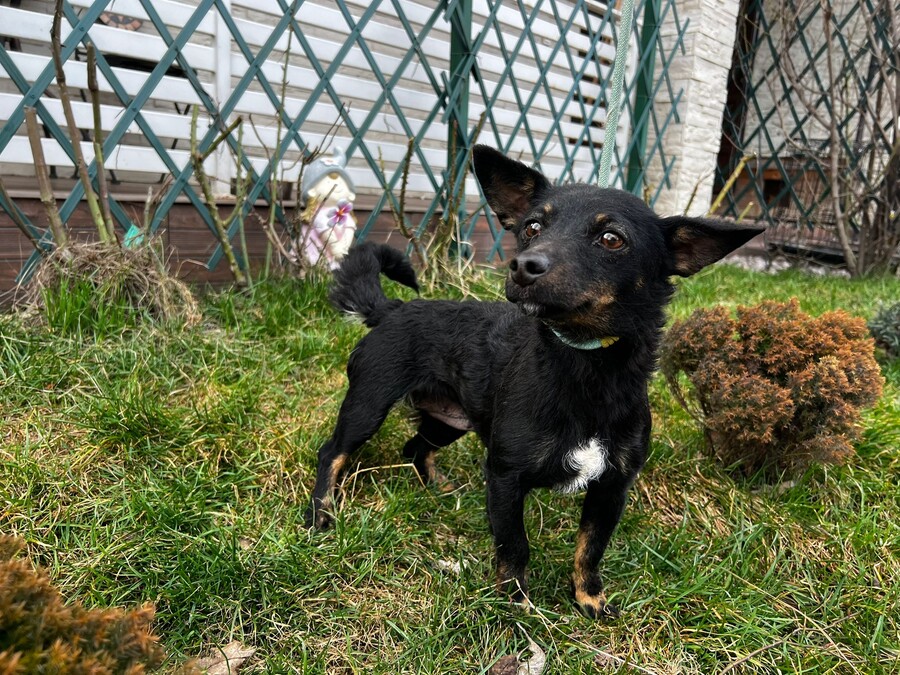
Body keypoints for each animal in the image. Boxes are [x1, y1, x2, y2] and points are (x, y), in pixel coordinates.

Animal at [306, 145, 763, 618]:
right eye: (532, 227)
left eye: (611, 239)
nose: (523, 265)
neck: (587, 366)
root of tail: (393, 308)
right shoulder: (506, 478)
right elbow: (514, 546)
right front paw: (516, 605)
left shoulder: (611, 488)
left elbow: (589, 549)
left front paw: (589, 598)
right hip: (368, 405)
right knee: (332, 453)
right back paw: (321, 513)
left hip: (449, 420)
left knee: (414, 447)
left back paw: (438, 489)